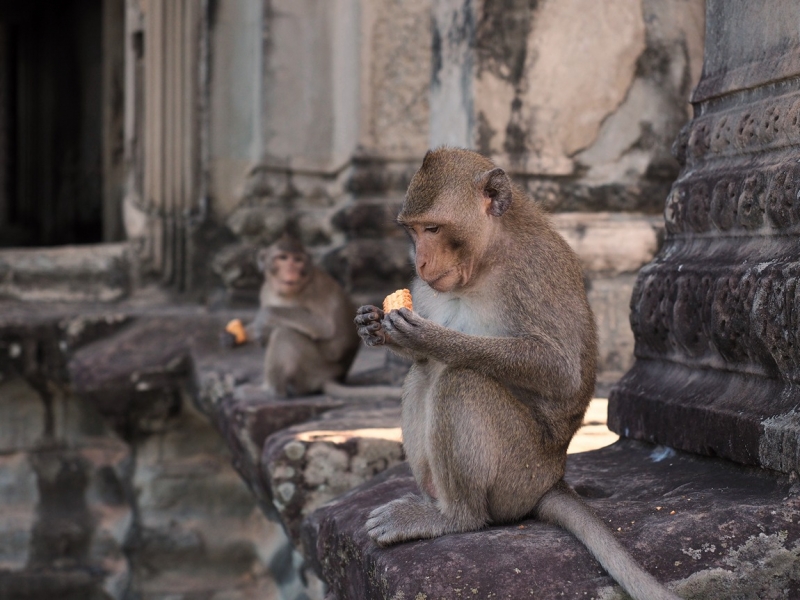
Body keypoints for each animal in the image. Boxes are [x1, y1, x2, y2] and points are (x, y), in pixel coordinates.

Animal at [227, 234, 360, 398]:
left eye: (297, 260)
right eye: (283, 258)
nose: (291, 270)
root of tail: (332, 376)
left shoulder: (315, 288)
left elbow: (324, 326)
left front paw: (264, 317)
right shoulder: (266, 290)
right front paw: (235, 336)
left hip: (313, 369)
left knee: (285, 333)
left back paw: (270, 391)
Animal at [356, 149, 680, 600]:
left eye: (433, 228)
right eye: (413, 231)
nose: (419, 261)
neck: (488, 258)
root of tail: (553, 479)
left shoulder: (534, 271)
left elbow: (561, 372)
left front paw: (436, 339)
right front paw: (372, 325)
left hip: (519, 473)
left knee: (460, 381)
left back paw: (455, 517)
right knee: (422, 376)